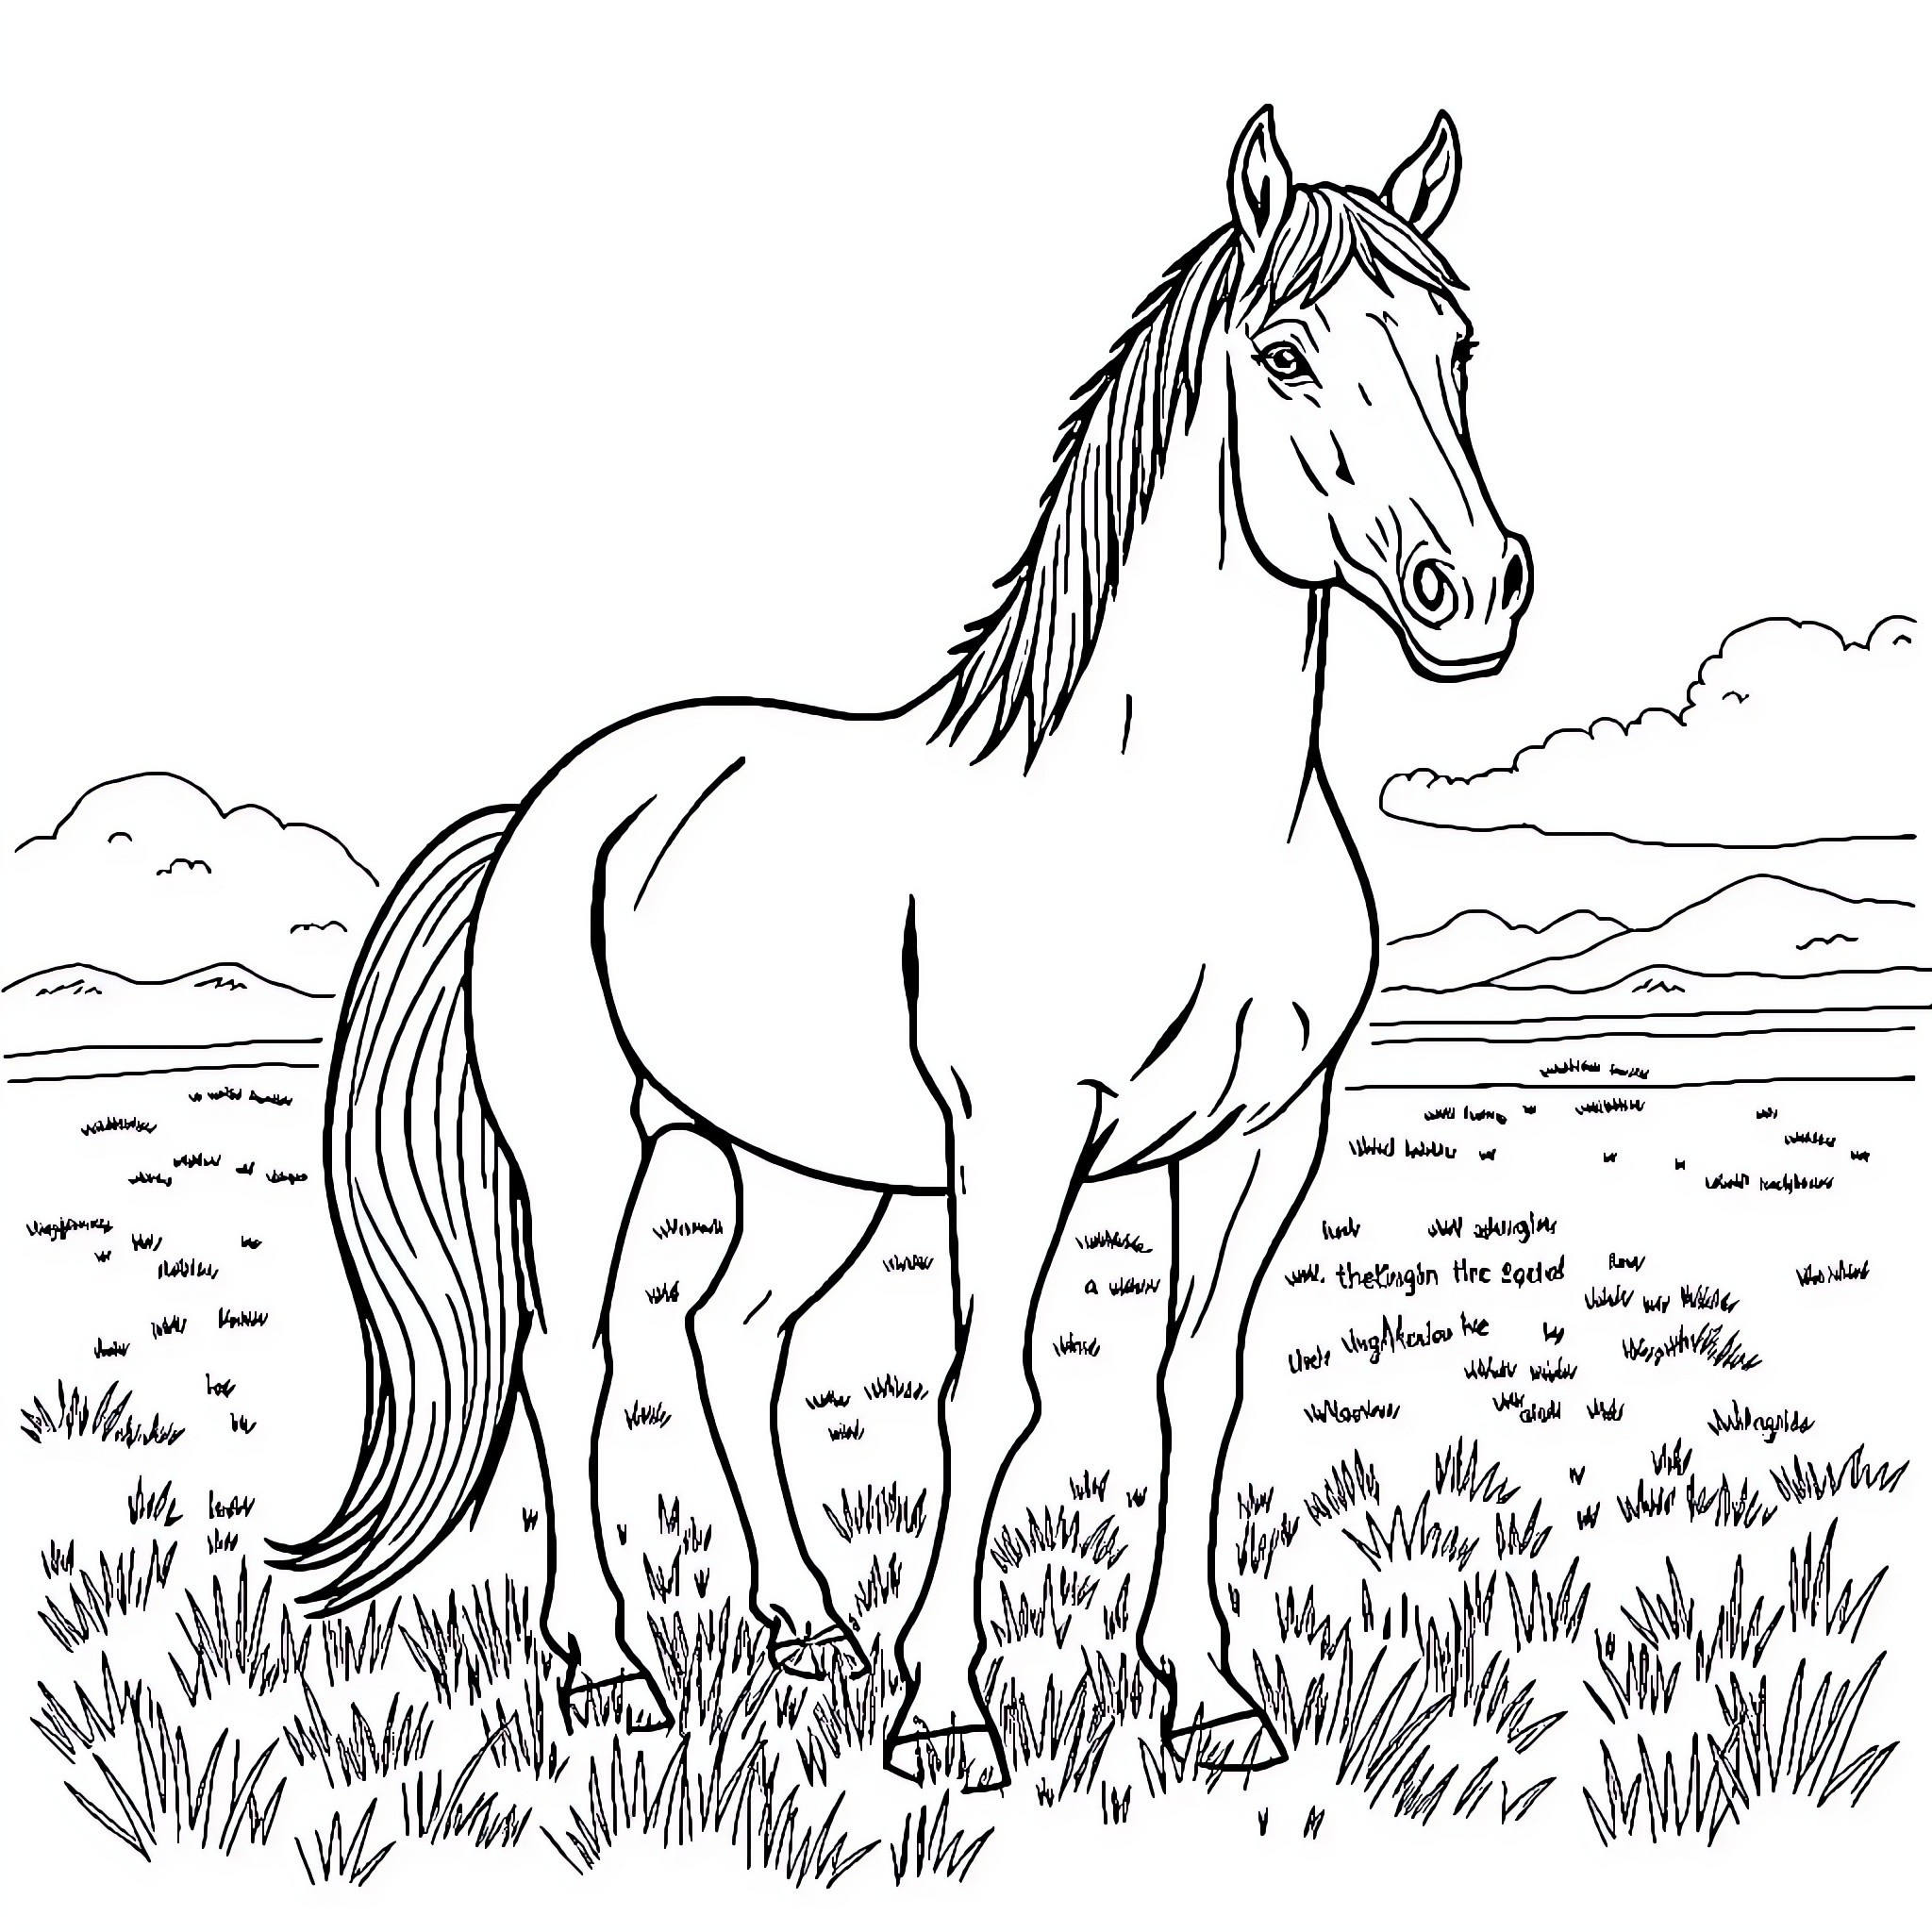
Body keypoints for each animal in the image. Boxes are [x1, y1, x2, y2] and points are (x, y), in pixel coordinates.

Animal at [273, 104, 1532, 1790]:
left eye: (1459, 347)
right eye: (1283, 355)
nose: (1476, 593)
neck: (1172, 816)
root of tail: (545, 808)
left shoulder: (1267, 1135)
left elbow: (1197, 1386)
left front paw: (1206, 1697)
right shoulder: (1019, 1139)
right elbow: (988, 1395)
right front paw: (944, 1710)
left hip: (810, 1174)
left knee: (730, 1337)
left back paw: (808, 1628)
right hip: (586, 1150)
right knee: (574, 1361)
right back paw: (612, 1669)